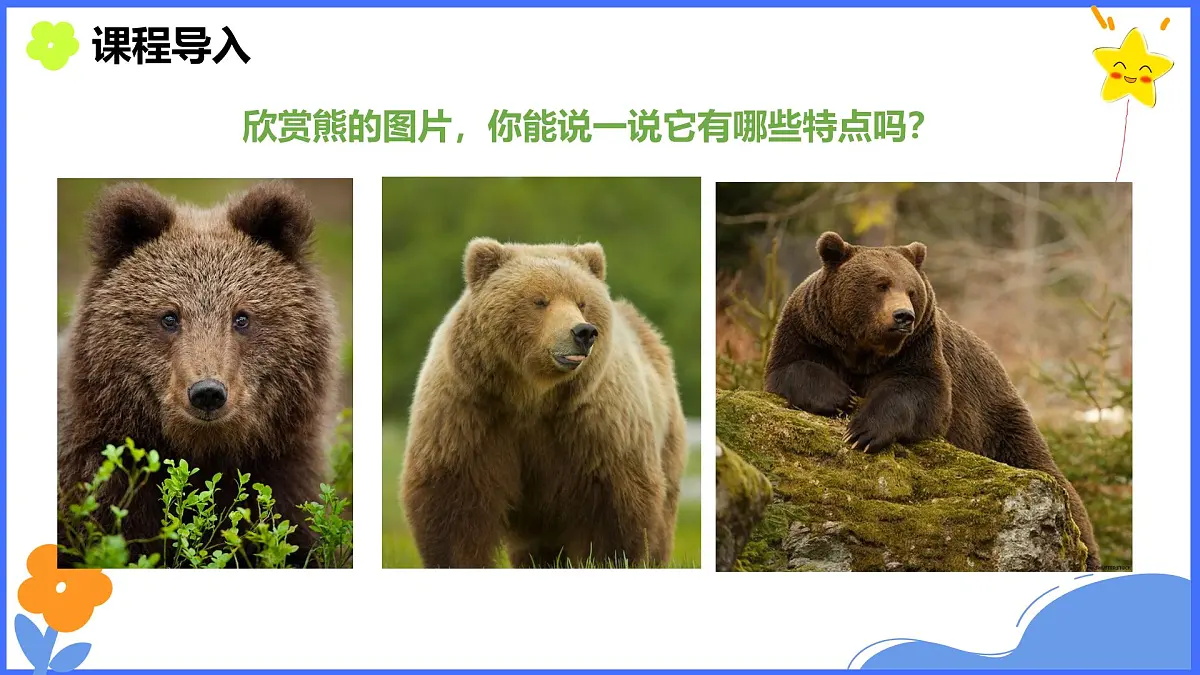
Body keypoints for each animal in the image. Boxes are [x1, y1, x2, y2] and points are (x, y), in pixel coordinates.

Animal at [57, 181, 341, 566]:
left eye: (242, 317)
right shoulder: (97, 477)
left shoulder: (284, 470)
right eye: (169, 316)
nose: (207, 392)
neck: (204, 452)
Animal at [400, 238, 688, 568]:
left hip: (666, 435)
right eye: (540, 300)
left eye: (581, 302)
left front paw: (612, 558)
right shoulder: (470, 413)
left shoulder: (597, 424)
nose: (584, 332)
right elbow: (453, 502)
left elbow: (615, 506)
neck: (532, 397)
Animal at [764, 231, 1101, 572]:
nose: (903, 316)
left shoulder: (920, 347)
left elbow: (922, 393)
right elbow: (790, 367)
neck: (864, 351)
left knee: (1048, 474)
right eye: (881, 284)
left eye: (911, 290)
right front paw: (840, 397)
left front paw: (864, 432)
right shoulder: (808, 330)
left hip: (997, 420)